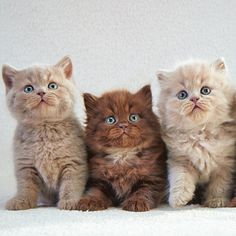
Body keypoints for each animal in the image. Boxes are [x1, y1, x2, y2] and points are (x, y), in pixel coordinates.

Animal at [1, 56, 88, 209]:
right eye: (28, 88)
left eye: (52, 85)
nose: (41, 92)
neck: (44, 129)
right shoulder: (25, 165)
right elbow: (26, 186)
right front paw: (21, 200)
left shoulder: (74, 162)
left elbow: (71, 184)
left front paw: (71, 201)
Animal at [157, 59, 236, 208]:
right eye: (182, 95)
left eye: (205, 90)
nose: (194, 98)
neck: (200, 133)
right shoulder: (180, 160)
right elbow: (180, 179)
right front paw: (178, 199)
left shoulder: (225, 164)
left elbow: (220, 186)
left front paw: (215, 201)